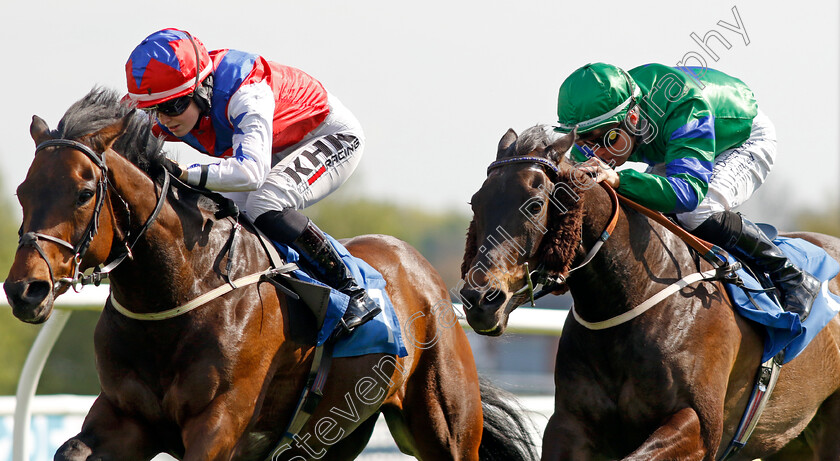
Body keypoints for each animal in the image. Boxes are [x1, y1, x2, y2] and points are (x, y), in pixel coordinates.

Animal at [3, 88, 540, 458]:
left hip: (446, 425)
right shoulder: (122, 418)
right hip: (333, 430)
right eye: (23, 191)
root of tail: (426, 274)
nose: (24, 289)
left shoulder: (219, 425)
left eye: (83, 193)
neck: (177, 296)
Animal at [460, 124, 840, 458]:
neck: (631, 297)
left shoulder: (698, 425)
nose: (480, 299)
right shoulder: (570, 424)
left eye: (536, 205)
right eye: (476, 202)